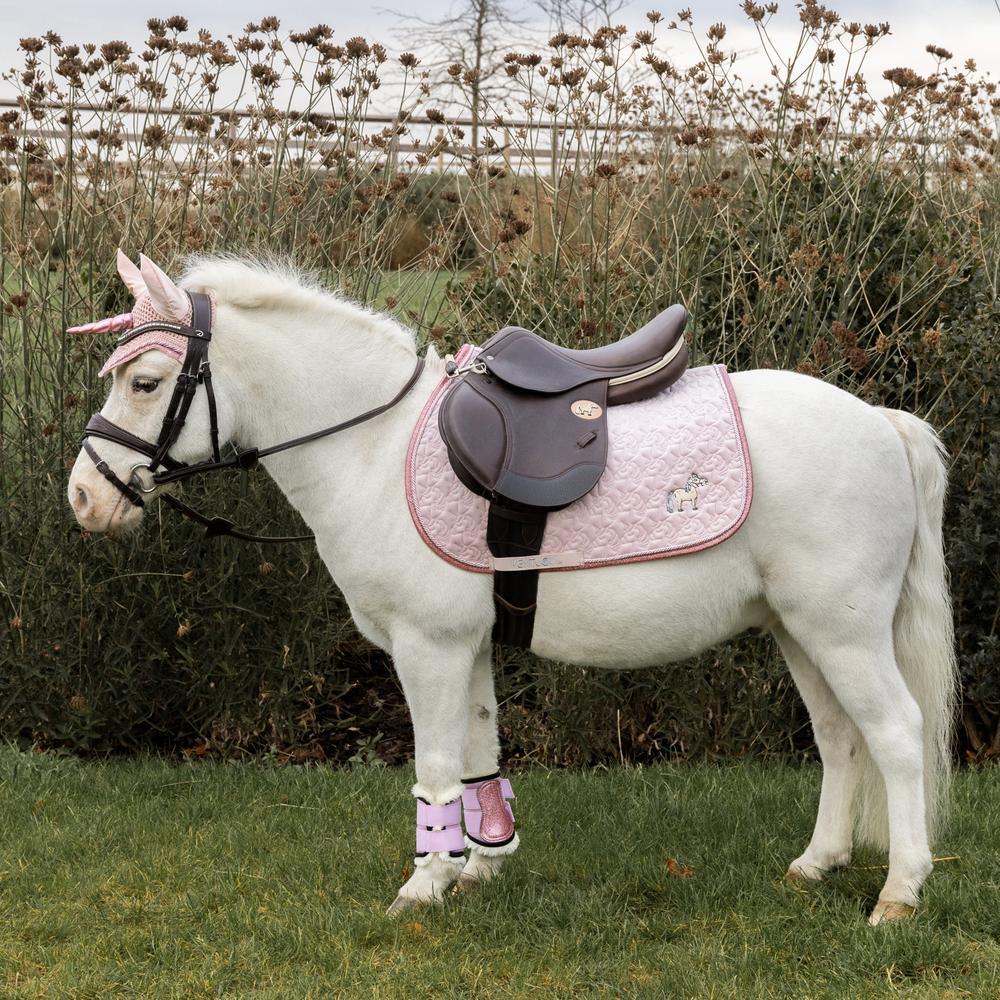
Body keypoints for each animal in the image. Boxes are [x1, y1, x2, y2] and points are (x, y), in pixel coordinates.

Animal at [67, 252, 956, 924]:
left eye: (145, 382)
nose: (84, 497)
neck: (375, 448)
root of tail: (883, 423)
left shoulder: (426, 648)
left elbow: (434, 763)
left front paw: (424, 885)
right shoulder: (469, 647)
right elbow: (477, 754)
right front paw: (481, 866)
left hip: (843, 632)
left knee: (896, 734)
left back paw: (900, 893)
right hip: (796, 629)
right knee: (840, 738)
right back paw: (816, 864)